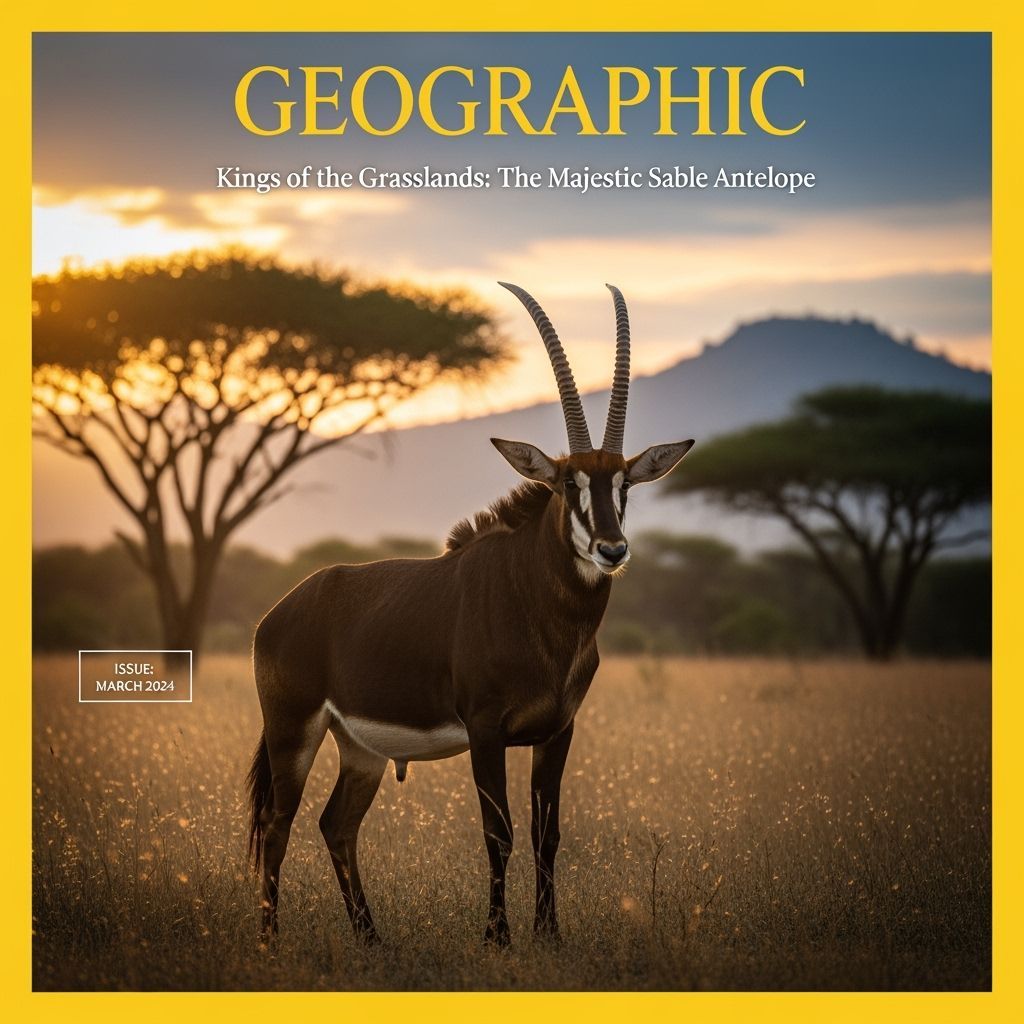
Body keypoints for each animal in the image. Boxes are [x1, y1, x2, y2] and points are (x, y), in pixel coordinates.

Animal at [247, 283, 694, 946]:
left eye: (625, 486)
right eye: (567, 483)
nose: (612, 550)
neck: (542, 613)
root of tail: (278, 613)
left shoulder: (557, 732)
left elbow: (545, 835)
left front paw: (548, 935)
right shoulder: (486, 730)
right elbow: (498, 833)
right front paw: (498, 937)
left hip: (361, 749)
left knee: (336, 824)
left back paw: (371, 938)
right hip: (293, 729)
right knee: (279, 824)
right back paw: (271, 940)